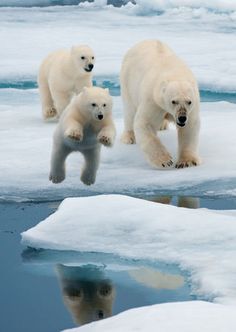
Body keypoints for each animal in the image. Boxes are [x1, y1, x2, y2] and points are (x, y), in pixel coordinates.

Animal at [121, 40, 200, 169]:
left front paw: (186, 162)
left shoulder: (193, 106)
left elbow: (190, 127)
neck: (174, 72)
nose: (182, 118)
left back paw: (162, 125)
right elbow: (145, 122)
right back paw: (129, 137)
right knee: (129, 111)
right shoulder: (153, 99)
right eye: (174, 101)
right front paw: (165, 161)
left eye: (189, 101)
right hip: (128, 81)